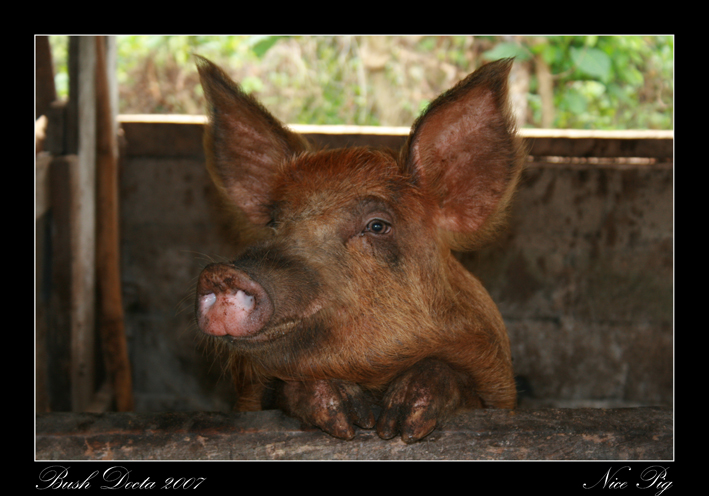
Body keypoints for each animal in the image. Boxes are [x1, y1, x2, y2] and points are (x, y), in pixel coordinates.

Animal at [194, 55, 526, 443]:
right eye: (275, 222)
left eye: (377, 226)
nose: (221, 274)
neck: (372, 375)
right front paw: (349, 418)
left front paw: (399, 425)